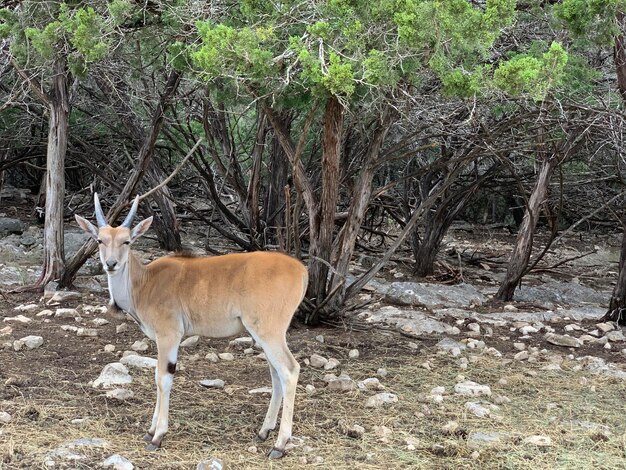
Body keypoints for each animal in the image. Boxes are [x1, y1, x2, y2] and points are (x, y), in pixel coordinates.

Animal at [75, 193, 308, 458]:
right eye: (100, 240)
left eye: (126, 241)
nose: (111, 264)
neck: (144, 282)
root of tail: (301, 269)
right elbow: (157, 376)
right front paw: (150, 430)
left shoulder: (169, 336)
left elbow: (163, 379)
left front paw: (157, 436)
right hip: (264, 335)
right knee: (276, 375)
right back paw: (263, 432)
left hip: (269, 332)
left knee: (289, 370)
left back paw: (280, 444)